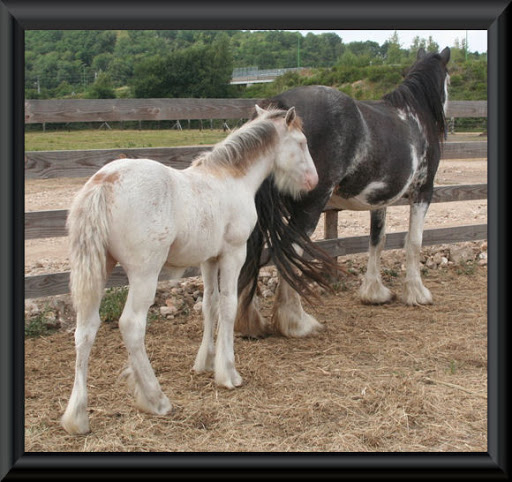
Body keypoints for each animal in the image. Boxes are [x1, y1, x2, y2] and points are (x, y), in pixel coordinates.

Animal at [234, 47, 450, 338]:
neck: (414, 116)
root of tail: (279, 102)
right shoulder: (424, 192)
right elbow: (414, 241)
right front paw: (418, 293)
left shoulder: (379, 200)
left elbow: (377, 240)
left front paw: (374, 292)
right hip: (310, 206)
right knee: (291, 250)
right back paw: (296, 322)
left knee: (253, 248)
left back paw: (249, 322)